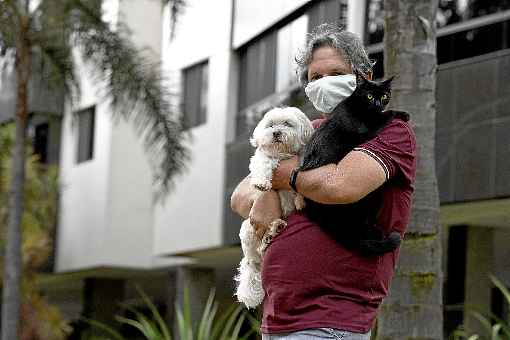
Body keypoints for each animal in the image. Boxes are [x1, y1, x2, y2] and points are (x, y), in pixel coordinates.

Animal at [234, 106, 312, 308]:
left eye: (287, 123)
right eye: (270, 125)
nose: (276, 133)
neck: (283, 154)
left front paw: (300, 199)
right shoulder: (263, 157)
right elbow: (264, 162)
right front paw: (262, 183)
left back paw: (275, 228)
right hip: (248, 229)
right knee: (259, 249)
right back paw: (270, 234)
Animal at [298, 70, 410, 255]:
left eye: (384, 96)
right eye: (370, 96)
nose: (377, 104)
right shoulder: (369, 129)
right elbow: (386, 114)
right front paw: (404, 114)